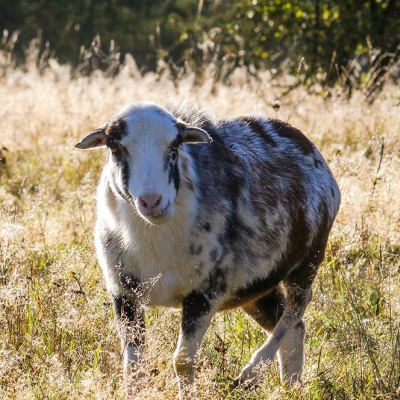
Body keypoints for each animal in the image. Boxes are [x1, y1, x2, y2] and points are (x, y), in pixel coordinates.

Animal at [75, 101, 340, 398]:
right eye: (115, 147)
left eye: (175, 146)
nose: (152, 202)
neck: (154, 240)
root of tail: (304, 142)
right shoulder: (124, 293)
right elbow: (133, 367)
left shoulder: (205, 292)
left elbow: (183, 361)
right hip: (255, 286)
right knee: (294, 327)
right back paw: (290, 387)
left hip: (309, 257)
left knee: (298, 305)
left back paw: (249, 376)